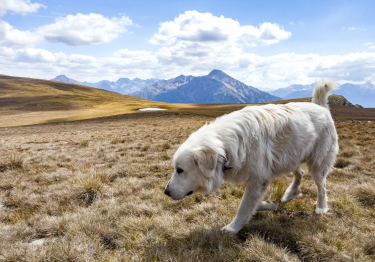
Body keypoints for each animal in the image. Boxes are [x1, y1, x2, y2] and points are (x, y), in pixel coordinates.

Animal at [166, 81, 340, 234]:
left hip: (317, 164)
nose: (166, 192)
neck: (225, 147)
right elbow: (253, 204)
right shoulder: (259, 180)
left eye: (180, 170)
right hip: (290, 157)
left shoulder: (258, 179)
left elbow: (244, 206)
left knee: (322, 186)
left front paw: (233, 228)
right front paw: (268, 205)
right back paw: (291, 193)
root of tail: (321, 107)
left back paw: (321, 207)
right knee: (300, 173)